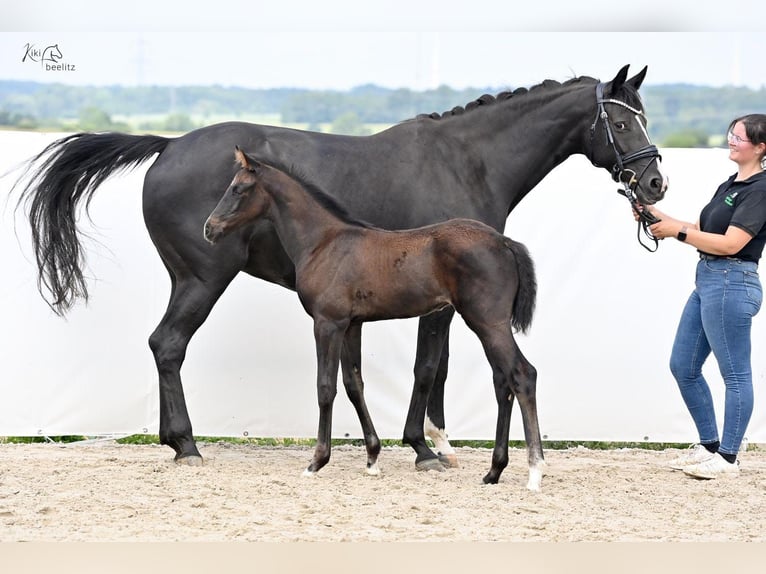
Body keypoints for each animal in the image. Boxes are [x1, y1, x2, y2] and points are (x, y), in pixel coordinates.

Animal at [204, 148, 544, 490]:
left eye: (238, 189)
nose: (209, 228)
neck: (324, 242)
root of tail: (504, 242)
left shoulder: (327, 323)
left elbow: (325, 387)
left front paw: (316, 462)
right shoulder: (351, 325)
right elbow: (354, 385)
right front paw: (372, 459)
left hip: (488, 321)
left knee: (522, 374)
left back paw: (534, 471)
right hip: (488, 325)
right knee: (503, 381)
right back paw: (494, 471)